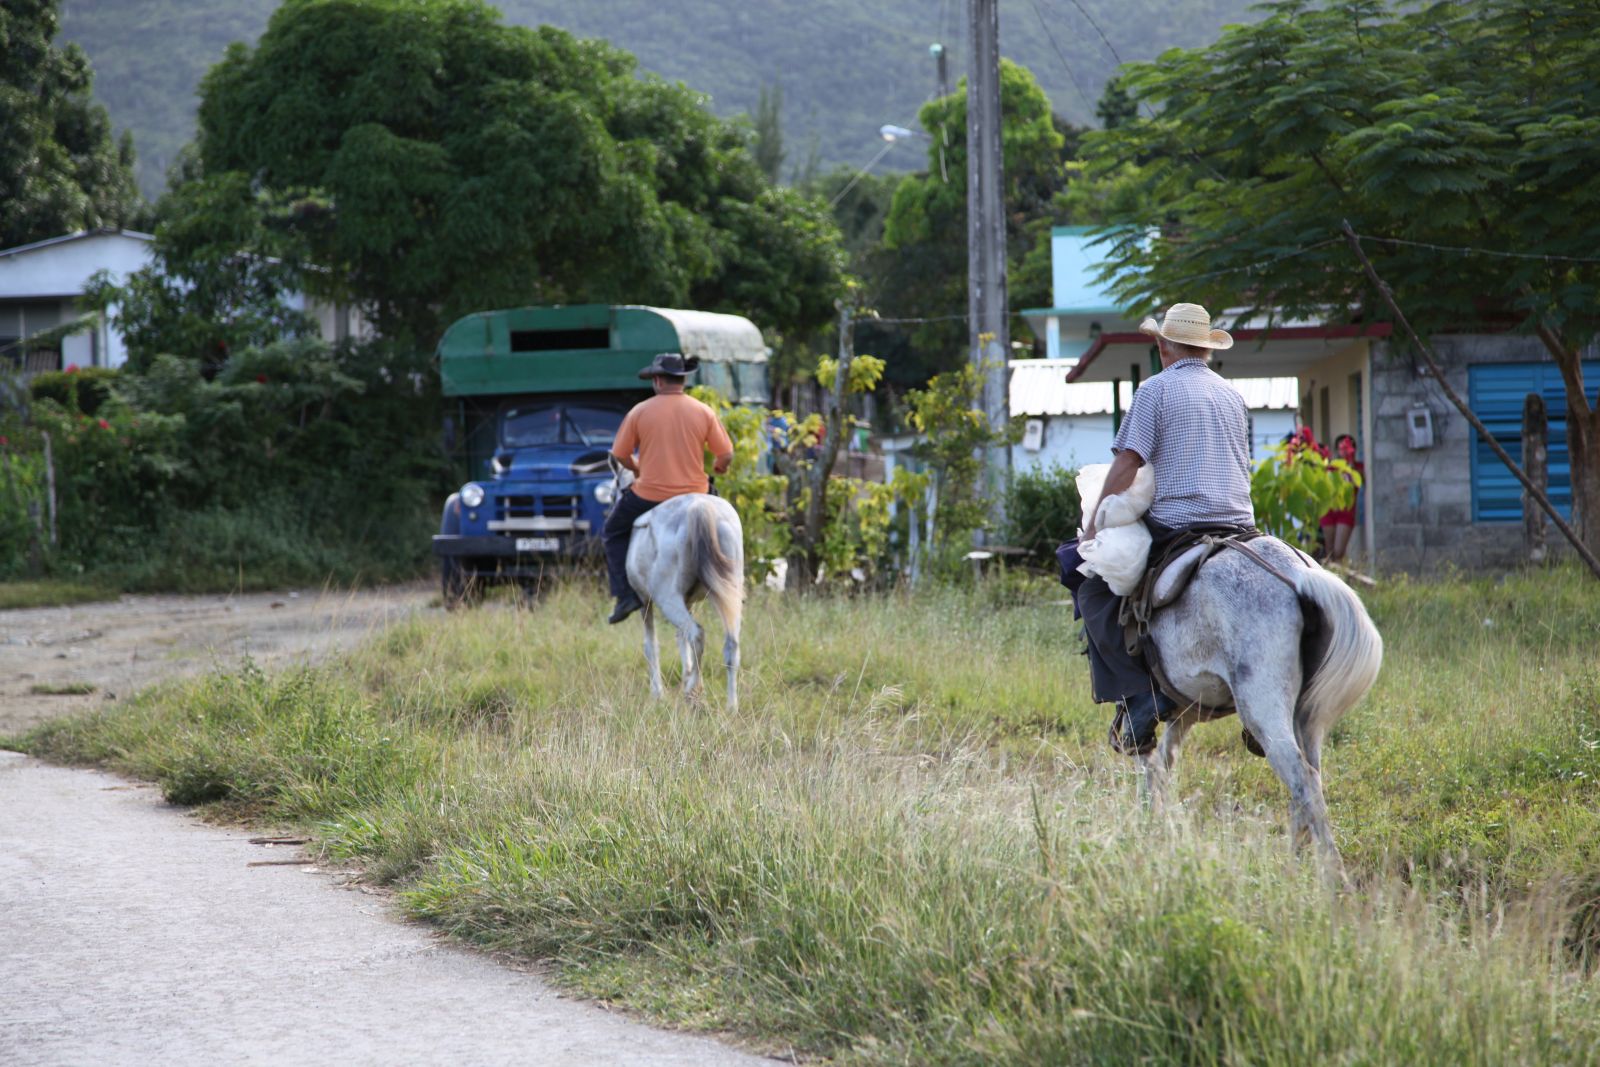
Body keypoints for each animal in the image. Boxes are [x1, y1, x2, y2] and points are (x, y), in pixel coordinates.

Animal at [624, 493, 745, 710]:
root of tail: (700, 506)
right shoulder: (688, 602)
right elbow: (681, 639)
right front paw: (685, 674)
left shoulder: (645, 602)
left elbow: (651, 646)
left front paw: (658, 693)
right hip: (731, 594)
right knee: (730, 645)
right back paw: (731, 706)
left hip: (667, 600)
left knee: (697, 634)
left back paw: (693, 690)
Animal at [1136, 537, 1383, 877]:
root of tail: (1298, 575)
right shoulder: (1186, 711)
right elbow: (1161, 764)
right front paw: (1157, 826)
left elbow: (1148, 759)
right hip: (1305, 718)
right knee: (1309, 782)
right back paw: (1293, 868)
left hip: (1263, 713)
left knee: (1303, 779)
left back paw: (1332, 875)